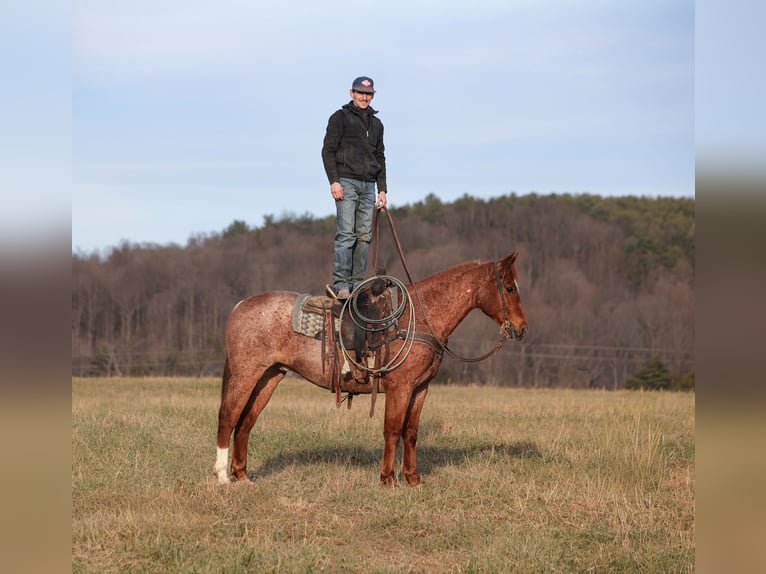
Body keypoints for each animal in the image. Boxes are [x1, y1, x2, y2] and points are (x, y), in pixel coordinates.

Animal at [214, 251, 528, 487]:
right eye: (509, 287)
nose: (522, 329)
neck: (419, 318)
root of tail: (240, 306)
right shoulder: (400, 388)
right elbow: (392, 430)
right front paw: (388, 479)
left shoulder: (421, 389)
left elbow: (410, 432)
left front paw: (413, 479)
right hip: (246, 373)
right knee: (228, 417)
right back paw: (222, 477)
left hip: (269, 376)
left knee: (246, 422)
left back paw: (242, 476)